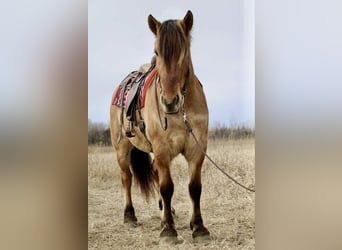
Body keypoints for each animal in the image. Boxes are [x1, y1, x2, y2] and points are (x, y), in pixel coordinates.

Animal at [111, 9, 210, 242]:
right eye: (157, 51)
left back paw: (166, 210)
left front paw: (198, 227)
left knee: (155, 173)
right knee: (127, 179)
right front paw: (168, 229)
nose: (169, 102)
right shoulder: (163, 149)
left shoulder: (197, 149)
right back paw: (130, 216)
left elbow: (195, 188)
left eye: (184, 51)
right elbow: (167, 188)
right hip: (122, 150)